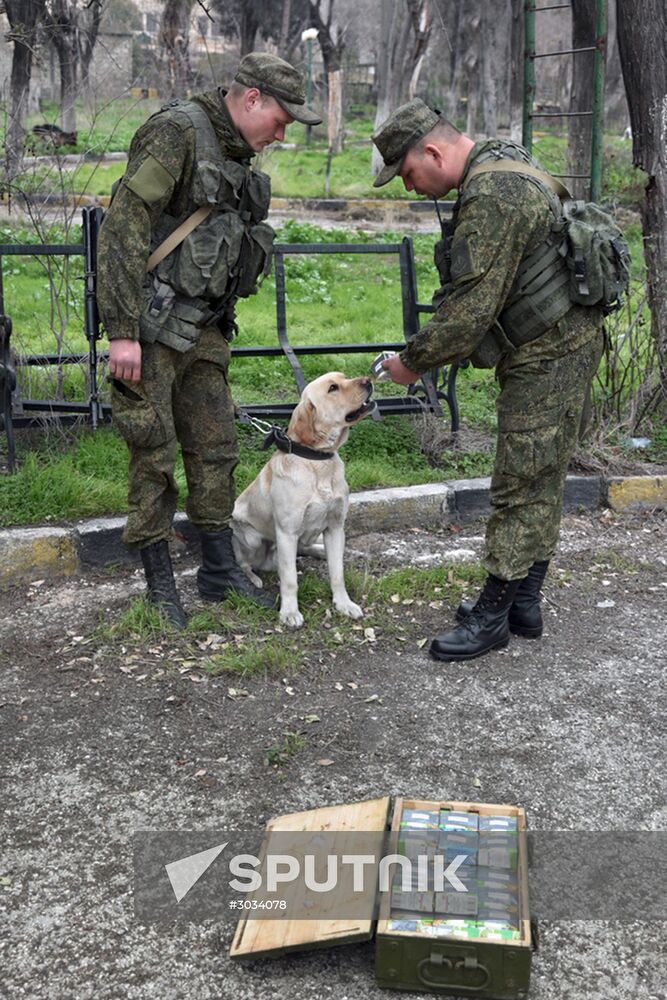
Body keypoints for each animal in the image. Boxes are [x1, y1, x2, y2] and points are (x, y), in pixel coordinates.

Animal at [231, 372, 376, 628]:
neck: (318, 462)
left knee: (308, 548)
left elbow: (337, 574)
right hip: (251, 538)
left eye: (344, 377)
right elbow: (289, 580)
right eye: (333, 388)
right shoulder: (287, 532)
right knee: (244, 562)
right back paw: (253, 579)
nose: (368, 380)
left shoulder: (335, 527)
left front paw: (344, 604)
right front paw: (289, 612)